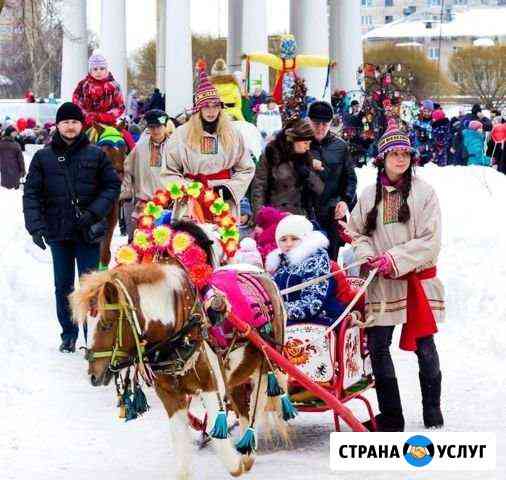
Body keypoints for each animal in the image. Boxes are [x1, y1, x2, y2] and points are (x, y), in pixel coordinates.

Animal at [70, 221, 288, 480]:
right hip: (237, 375)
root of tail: (260, 272)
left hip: (267, 363)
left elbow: (218, 435)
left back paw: (249, 448)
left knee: (259, 401)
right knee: (243, 407)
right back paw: (246, 448)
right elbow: (181, 444)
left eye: (107, 324)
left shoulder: (210, 385)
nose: (94, 374)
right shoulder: (170, 394)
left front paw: (237, 462)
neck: (179, 329)